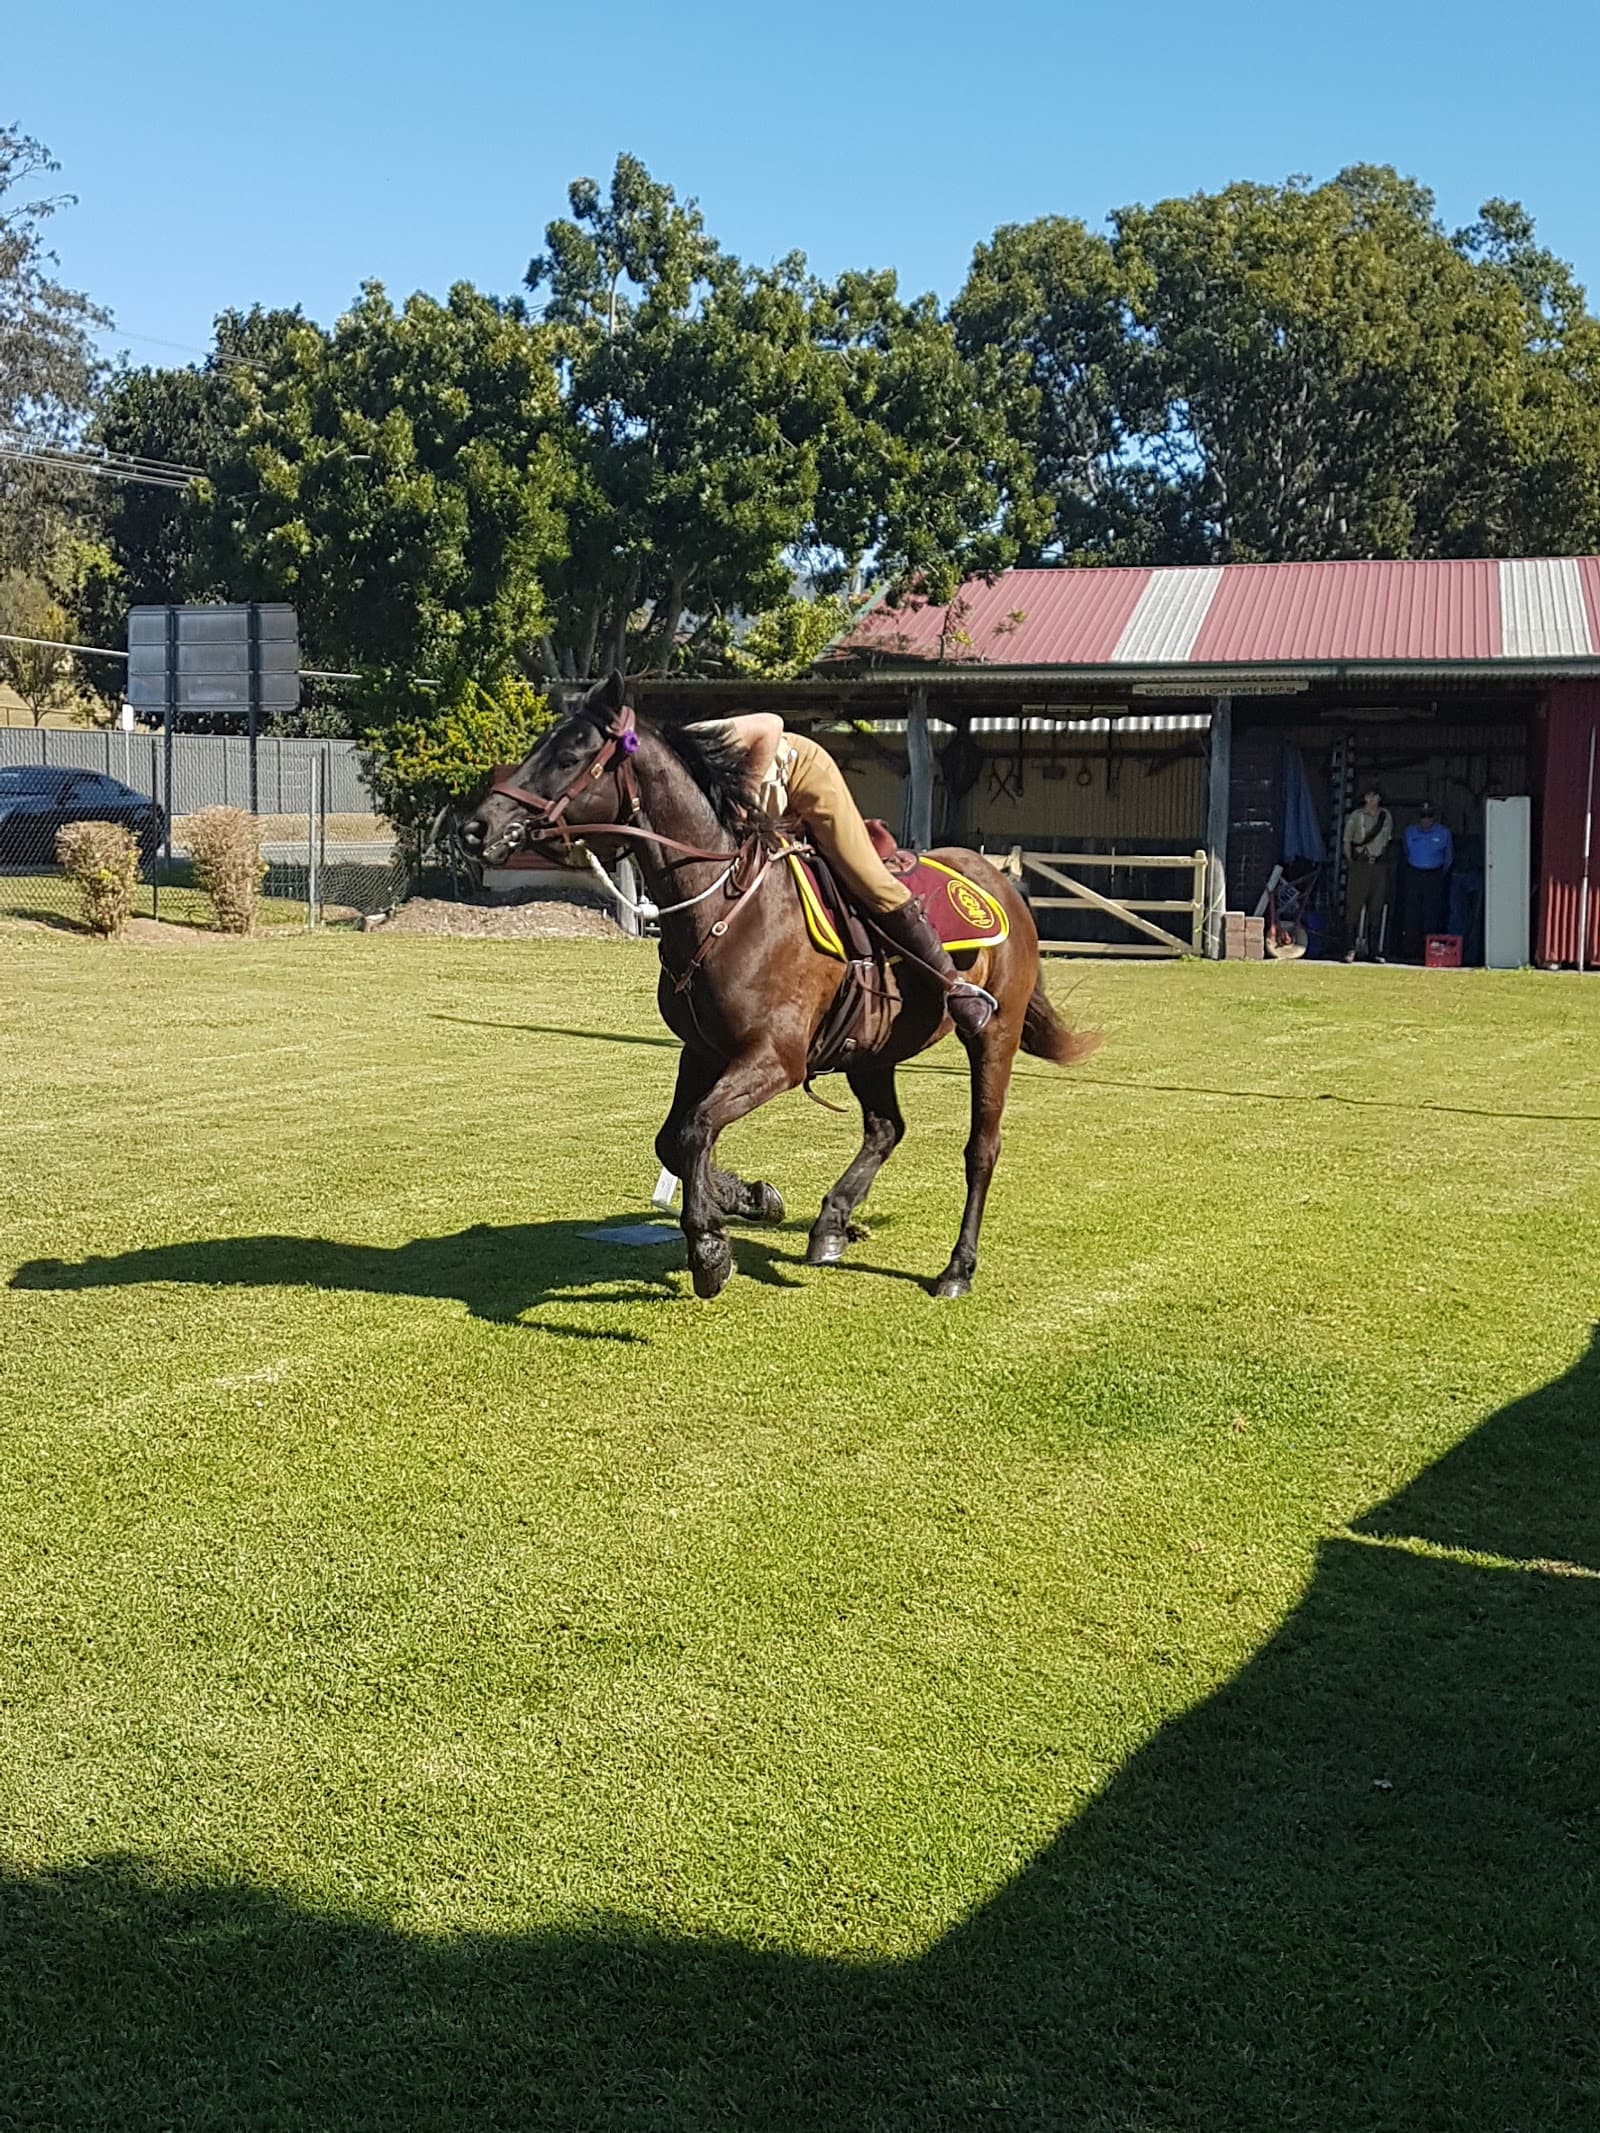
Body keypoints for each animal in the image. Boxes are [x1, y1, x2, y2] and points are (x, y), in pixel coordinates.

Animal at [461, 672, 1098, 1301]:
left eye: (569, 756)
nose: (474, 828)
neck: (723, 904)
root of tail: (1001, 880)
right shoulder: (702, 1051)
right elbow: (676, 1138)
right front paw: (747, 1198)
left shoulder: (775, 1060)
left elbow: (694, 1130)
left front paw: (709, 1246)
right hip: (872, 1050)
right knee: (886, 1128)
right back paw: (832, 1224)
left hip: (994, 1036)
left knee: (980, 1149)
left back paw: (956, 1268)